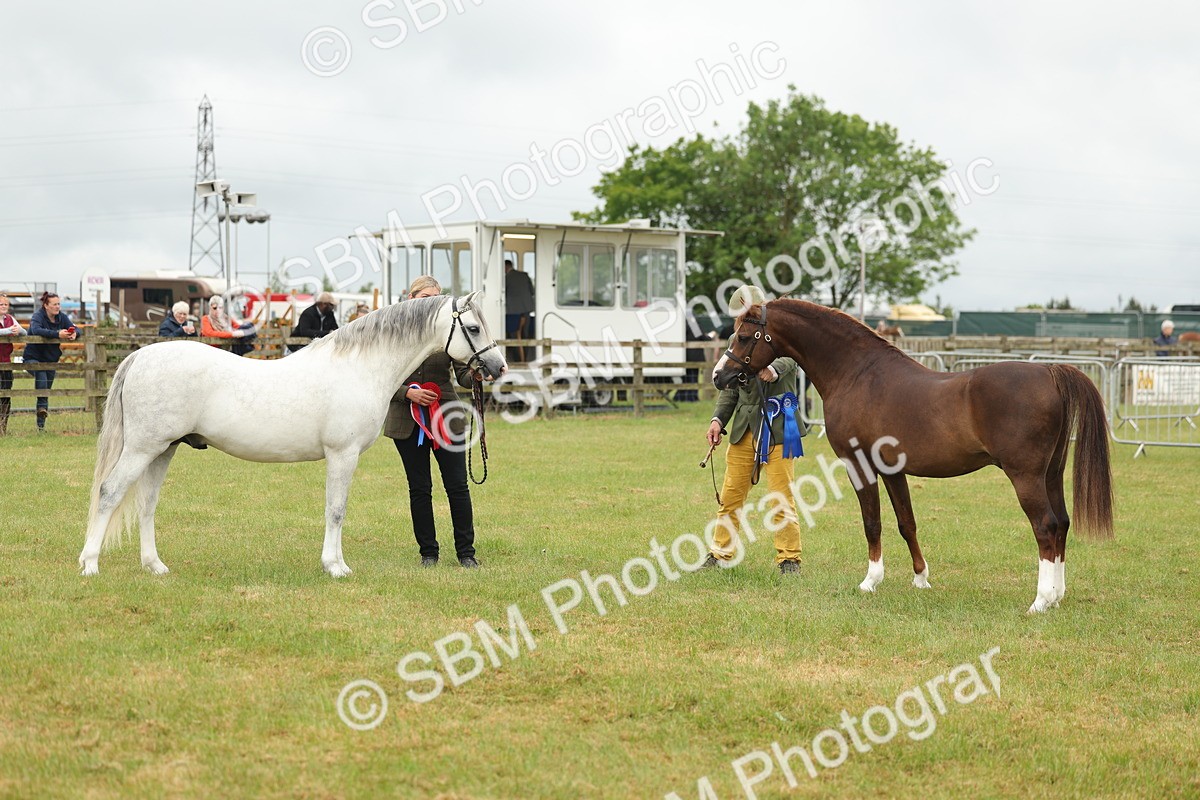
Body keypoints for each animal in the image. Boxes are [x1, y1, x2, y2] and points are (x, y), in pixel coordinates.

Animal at [78, 292, 506, 578]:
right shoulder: (342, 454)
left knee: (147, 504)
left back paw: (155, 566)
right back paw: (90, 565)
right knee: (110, 492)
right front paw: (336, 567)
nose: (497, 367)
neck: (359, 367)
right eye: (472, 327)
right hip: (142, 448)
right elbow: (336, 510)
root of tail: (140, 356)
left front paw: (334, 563)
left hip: (163, 450)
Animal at [712, 299, 1113, 613]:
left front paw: (870, 581)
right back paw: (1058, 595)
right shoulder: (893, 469)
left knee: (1045, 526)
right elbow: (907, 522)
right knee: (1062, 523)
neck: (857, 373)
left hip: (1026, 476)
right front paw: (921, 578)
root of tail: (1049, 370)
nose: (720, 376)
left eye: (744, 336)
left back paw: (1041, 600)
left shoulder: (859, 464)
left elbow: (872, 522)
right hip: (1052, 474)